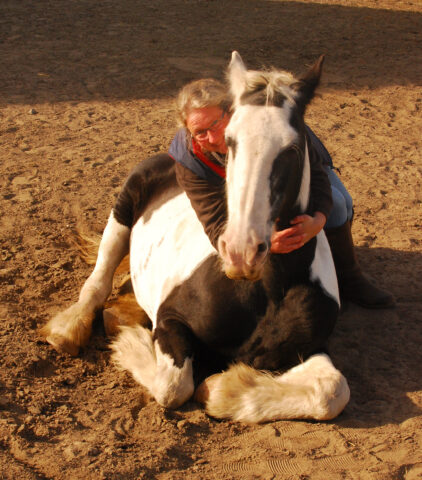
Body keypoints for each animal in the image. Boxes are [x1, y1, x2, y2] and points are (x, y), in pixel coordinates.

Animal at [41, 50, 352, 422]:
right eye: (230, 140)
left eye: (291, 148)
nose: (241, 252)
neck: (267, 291)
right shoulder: (171, 319)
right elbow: (173, 387)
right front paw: (132, 344)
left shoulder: (309, 349)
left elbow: (332, 390)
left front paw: (224, 387)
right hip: (120, 216)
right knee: (98, 281)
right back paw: (71, 329)